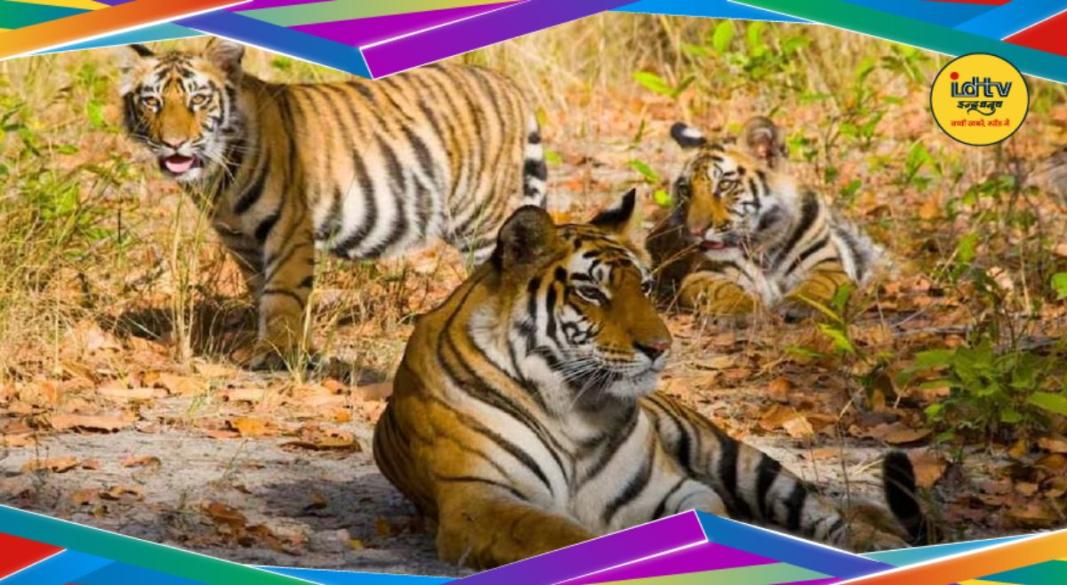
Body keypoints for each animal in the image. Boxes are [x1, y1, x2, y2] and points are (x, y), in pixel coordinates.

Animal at [118, 38, 547, 369]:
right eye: (152, 101)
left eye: (199, 99)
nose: (174, 143)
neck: (216, 175)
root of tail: (504, 83)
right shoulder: (241, 240)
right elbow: (262, 290)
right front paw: (294, 349)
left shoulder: (288, 227)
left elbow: (283, 293)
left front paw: (274, 352)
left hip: (481, 217)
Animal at [373, 191, 924, 570]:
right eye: (591, 292)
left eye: (644, 285)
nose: (661, 347)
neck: (572, 409)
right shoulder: (479, 498)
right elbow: (560, 536)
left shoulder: (672, 490)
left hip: (735, 456)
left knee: (819, 508)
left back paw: (877, 543)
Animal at [646, 116, 884, 316]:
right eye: (686, 190)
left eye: (724, 185)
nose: (695, 231)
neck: (765, 245)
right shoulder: (701, 274)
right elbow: (720, 289)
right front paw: (742, 309)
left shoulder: (827, 265)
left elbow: (819, 284)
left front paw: (798, 305)